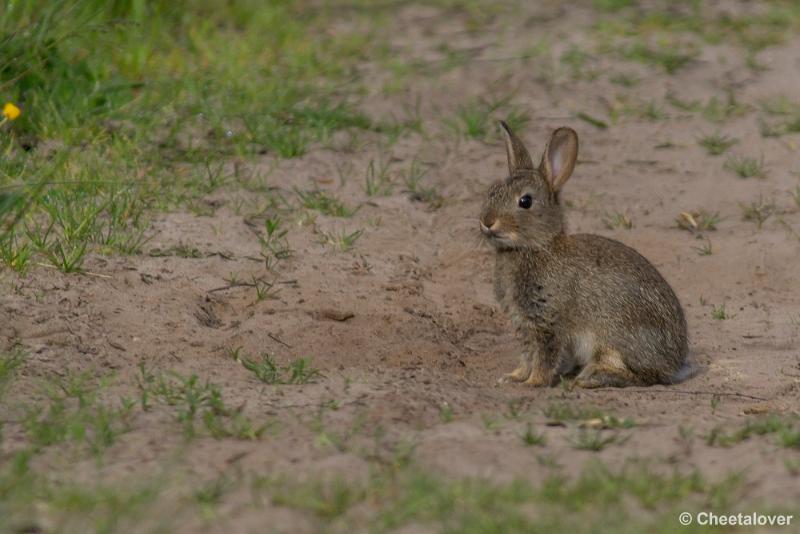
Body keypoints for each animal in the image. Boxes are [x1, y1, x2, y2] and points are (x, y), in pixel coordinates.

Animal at [478, 123, 692, 388]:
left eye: (525, 201)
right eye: (492, 191)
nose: (486, 222)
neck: (535, 246)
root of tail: (674, 363)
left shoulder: (548, 321)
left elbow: (544, 356)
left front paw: (533, 383)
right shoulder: (524, 324)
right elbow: (526, 354)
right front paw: (513, 377)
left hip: (612, 338)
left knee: (642, 375)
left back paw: (591, 378)